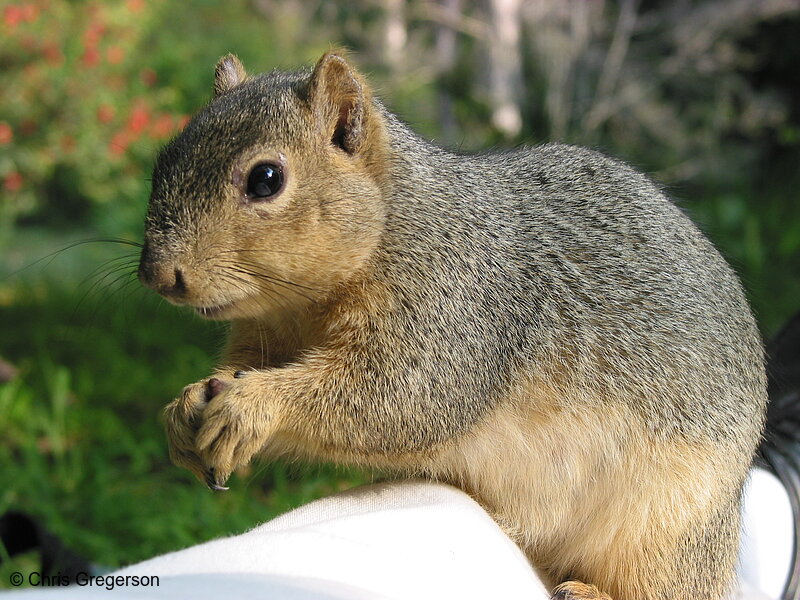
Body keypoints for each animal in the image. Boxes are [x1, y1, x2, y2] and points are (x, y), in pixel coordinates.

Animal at [138, 52, 768, 600]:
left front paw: (252, 407)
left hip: (668, 524)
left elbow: (400, 397)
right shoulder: (267, 332)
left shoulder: (453, 311)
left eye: (266, 178)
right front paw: (185, 407)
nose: (157, 275)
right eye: (164, 158)